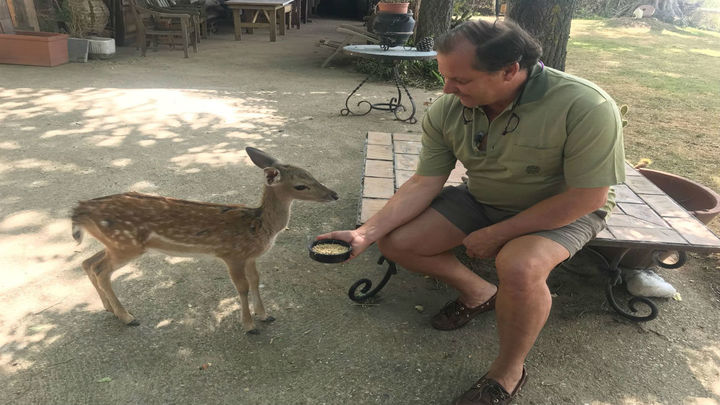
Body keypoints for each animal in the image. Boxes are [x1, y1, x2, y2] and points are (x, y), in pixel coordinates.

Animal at [71, 147, 339, 334]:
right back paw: (128, 317)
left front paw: (265, 315)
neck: (258, 226)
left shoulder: (250, 257)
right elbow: (242, 287)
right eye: (301, 185)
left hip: (115, 244)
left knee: (88, 262)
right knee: (101, 271)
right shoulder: (232, 254)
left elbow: (255, 281)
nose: (334, 194)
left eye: (311, 174)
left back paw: (109, 308)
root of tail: (80, 210)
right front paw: (249, 326)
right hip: (126, 245)